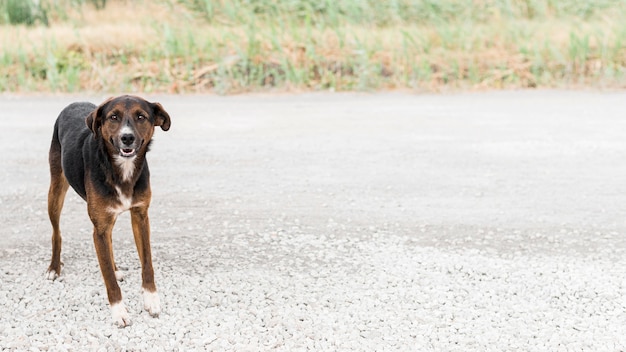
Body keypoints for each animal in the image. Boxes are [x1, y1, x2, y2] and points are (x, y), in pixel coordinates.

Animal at [45, 95, 171, 326]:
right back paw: (54, 268)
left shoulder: (140, 217)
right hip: (55, 191)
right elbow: (109, 279)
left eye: (141, 117)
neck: (122, 169)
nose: (127, 138)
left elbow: (147, 262)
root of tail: (74, 102)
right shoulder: (99, 229)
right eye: (113, 117)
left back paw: (115, 267)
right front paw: (119, 311)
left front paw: (151, 299)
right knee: (56, 232)